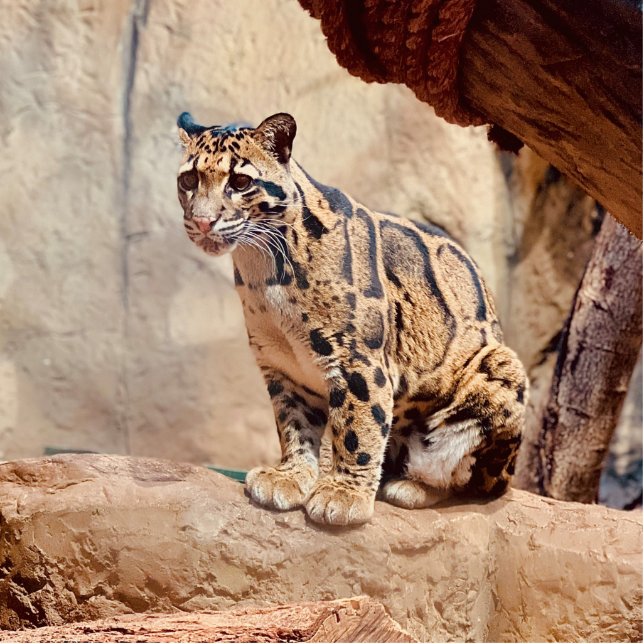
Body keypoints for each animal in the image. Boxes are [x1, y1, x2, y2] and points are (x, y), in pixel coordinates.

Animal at [176, 111, 528, 526]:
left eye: (240, 182)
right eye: (188, 180)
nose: (202, 222)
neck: (262, 268)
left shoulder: (357, 359)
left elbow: (358, 427)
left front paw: (343, 495)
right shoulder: (283, 366)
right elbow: (293, 425)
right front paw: (291, 476)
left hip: (501, 370)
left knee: (472, 481)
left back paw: (411, 486)